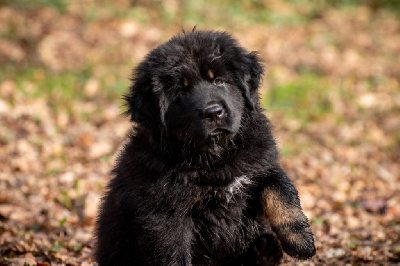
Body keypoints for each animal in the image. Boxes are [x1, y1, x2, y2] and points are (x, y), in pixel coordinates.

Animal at [94, 30, 316, 264]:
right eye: (181, 92)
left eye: (218, 81)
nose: (213, 112)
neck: (215, 155)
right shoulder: (165, 213)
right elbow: (173, 253)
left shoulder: (261, 164)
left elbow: (282, 192)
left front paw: (301, 241)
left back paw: (265, 251)